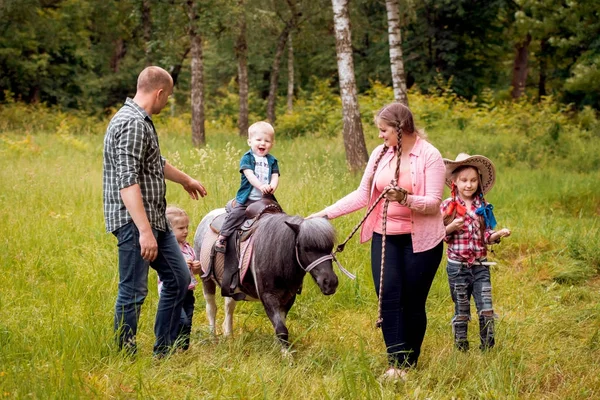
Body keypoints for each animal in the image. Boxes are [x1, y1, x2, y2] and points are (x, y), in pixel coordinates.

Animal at [195, 208, 340, 348]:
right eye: (307, 248)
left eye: (330, 247)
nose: (330, 283)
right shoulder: (268, 297)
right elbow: (281, 329)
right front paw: (287, 354)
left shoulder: (288, 297)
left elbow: (281, 322)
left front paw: (278, 347)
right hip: (206, 279)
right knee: (211, 308)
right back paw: (213, 338)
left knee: (229, 306)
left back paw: (229, 335)